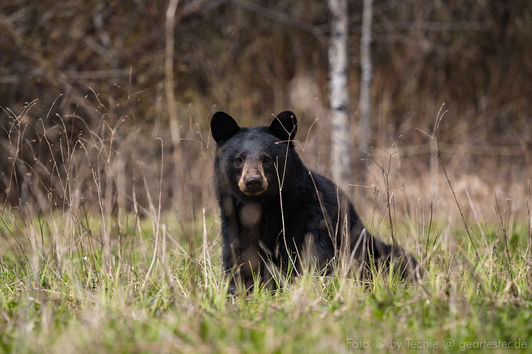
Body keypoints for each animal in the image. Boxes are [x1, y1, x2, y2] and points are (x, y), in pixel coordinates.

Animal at [210, 110, 418, 290]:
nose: (253, 181)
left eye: (266, 158)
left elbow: (315, 253)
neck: (265, 205)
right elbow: (239, 257)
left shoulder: (310, 214)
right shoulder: (235, 220)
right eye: (239, 159)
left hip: (367, 246)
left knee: (399, 258)